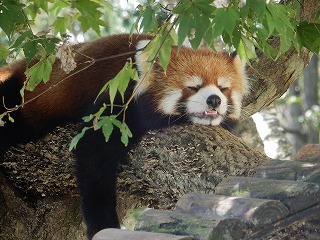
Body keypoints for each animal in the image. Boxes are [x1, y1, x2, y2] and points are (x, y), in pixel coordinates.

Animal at [0, 33, 248, 238]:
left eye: (223, 88)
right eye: (193, 87)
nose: (214, 100)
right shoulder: (115, 100)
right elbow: (95, 159)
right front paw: (102, 225)